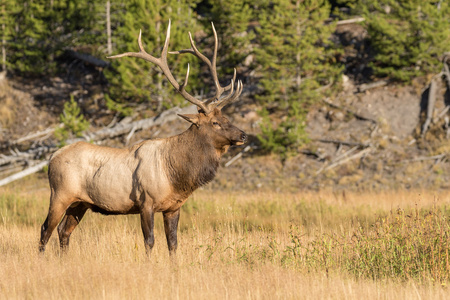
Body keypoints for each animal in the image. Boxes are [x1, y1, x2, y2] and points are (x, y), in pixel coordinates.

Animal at [39, 20, 248, 255]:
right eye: (215, 123)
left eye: (227, 117)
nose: (243, 135)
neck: (177, 175)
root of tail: (52, 158)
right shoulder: (145, 202)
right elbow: (149, 241)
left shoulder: (173, 207)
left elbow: (173, 243)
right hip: (60, 194)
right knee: (45, 229)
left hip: (80, 203)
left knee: (63, 231)